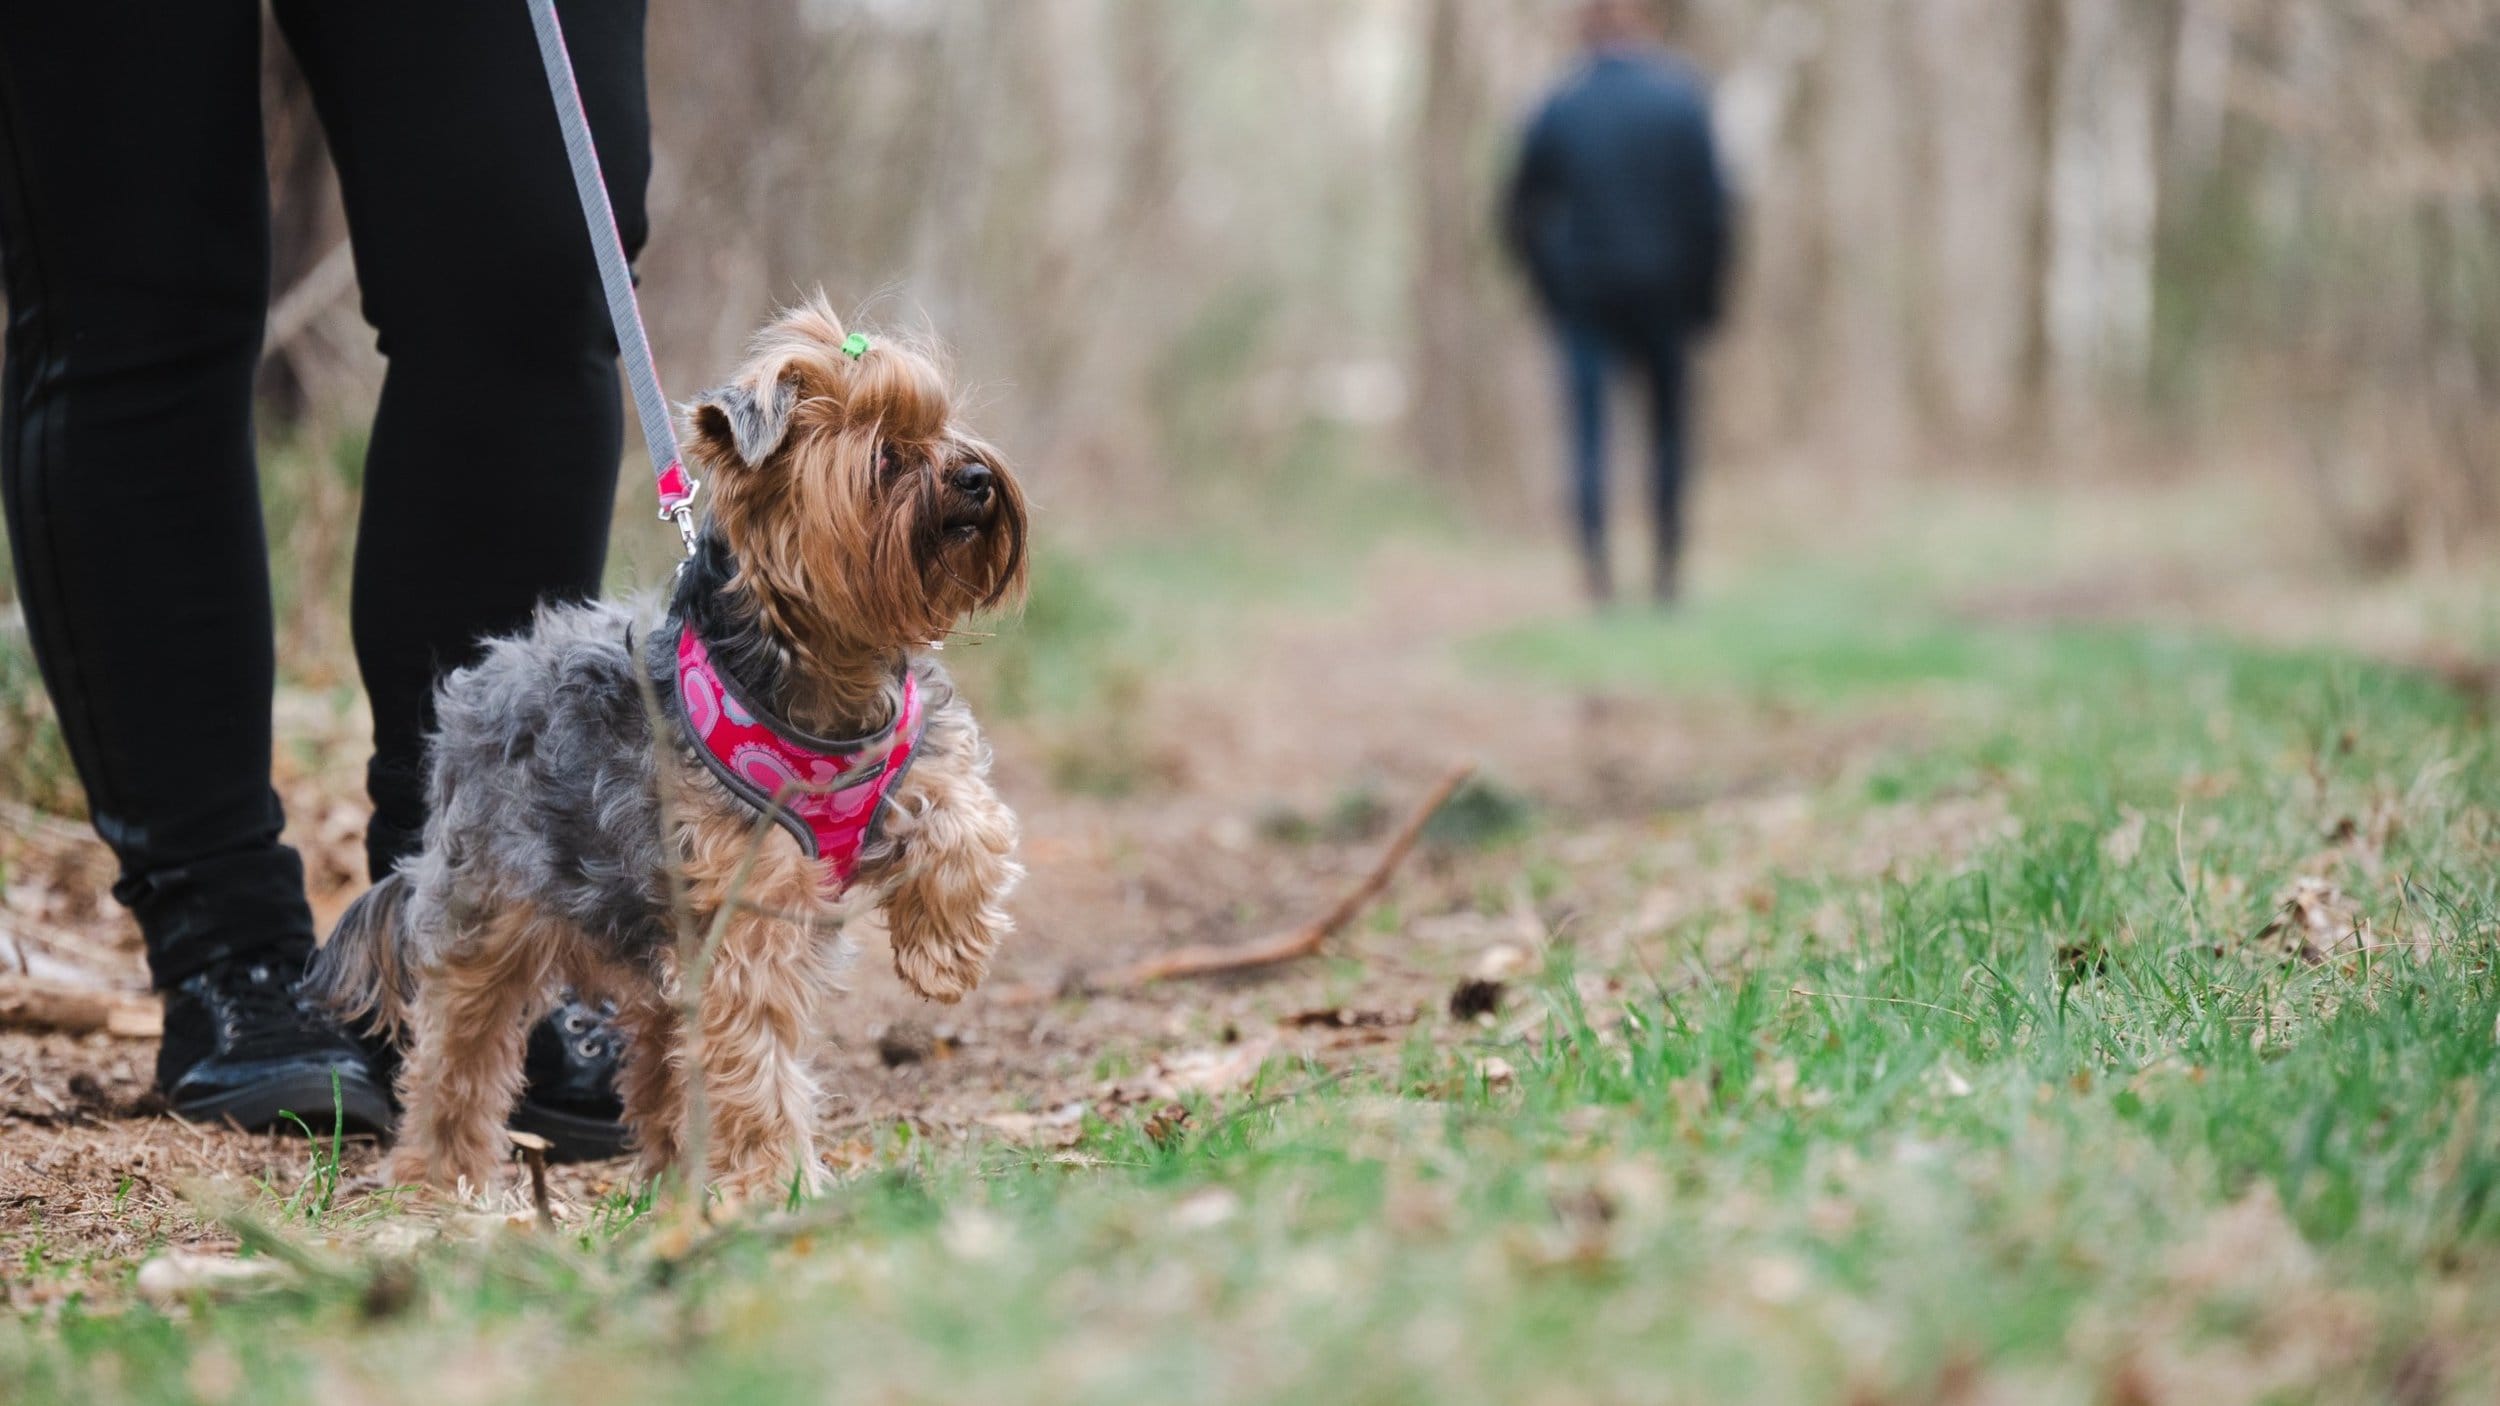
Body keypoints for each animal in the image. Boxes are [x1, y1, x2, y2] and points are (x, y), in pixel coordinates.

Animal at [320, 297, 1025, 1190]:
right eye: (887, 455)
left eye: (942, 425)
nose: (975, 477)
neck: (830, 675)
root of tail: (481, 682)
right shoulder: (746, 906)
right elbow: (758, 1054)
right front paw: (782, 1184)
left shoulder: (917, 751)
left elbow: (970, 819)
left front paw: (948, 954)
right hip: (491, 910)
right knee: (458, 1050)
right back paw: (442, 1174)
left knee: (659, 1048)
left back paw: (671, 1171)